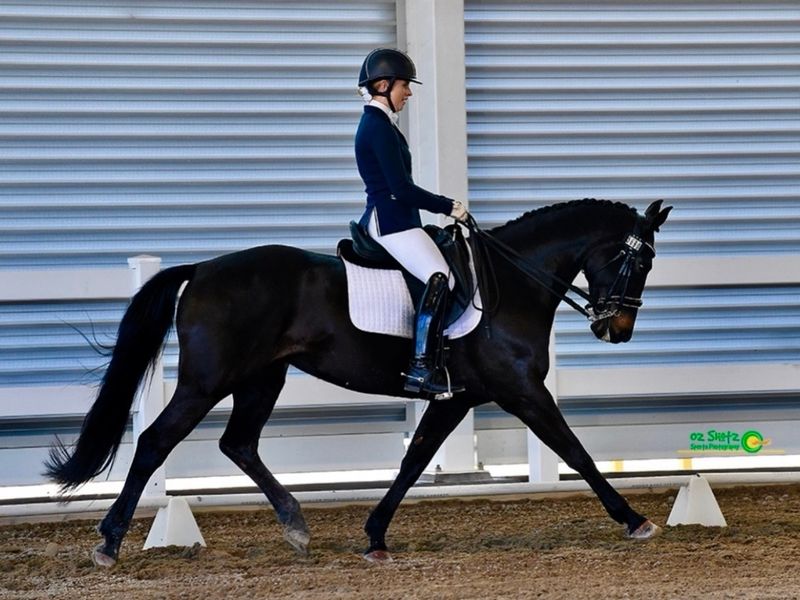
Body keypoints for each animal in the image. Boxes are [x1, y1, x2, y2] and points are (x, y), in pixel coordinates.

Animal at [45, 198, 672, 566]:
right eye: (639, 262)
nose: (616, 330)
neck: (510, 283)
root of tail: (200, 270)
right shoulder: (521, 392)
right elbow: (576, 452)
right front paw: (635, 520)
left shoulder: (459, 396)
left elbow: (415, 460)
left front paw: (375, 535)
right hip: (207, 382)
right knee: (156, 441)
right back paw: (109, 542)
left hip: (261, 378)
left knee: (238, 443)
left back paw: (296, 527)